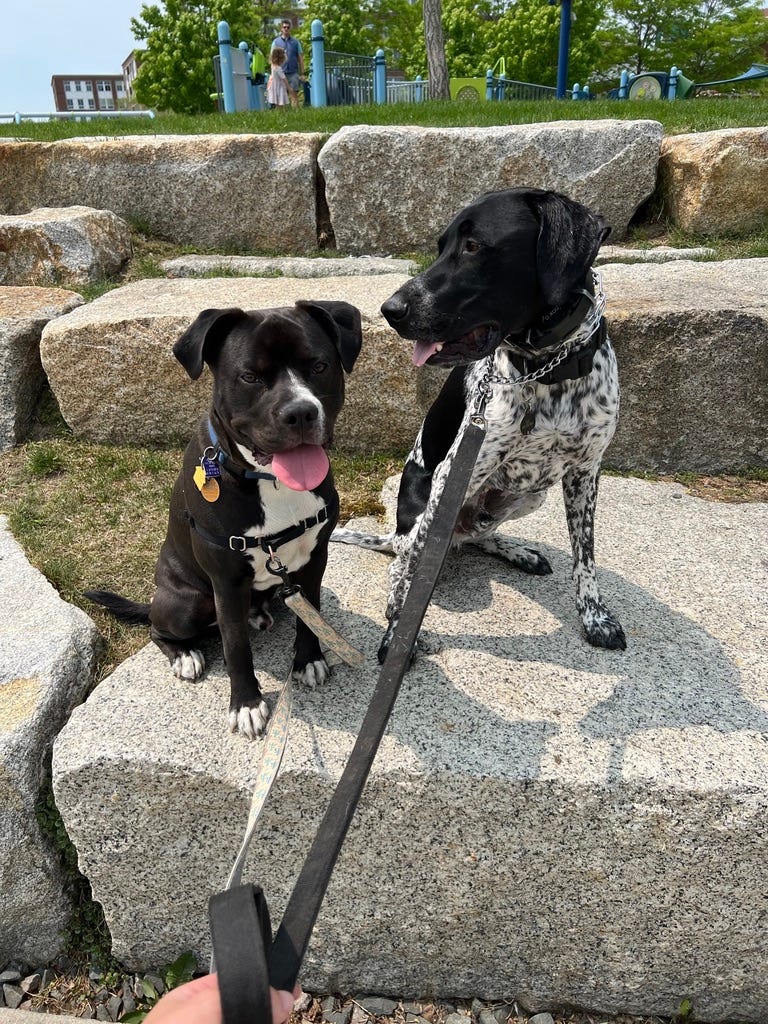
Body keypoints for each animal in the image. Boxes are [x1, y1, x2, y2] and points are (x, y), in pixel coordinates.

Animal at [87, 300, 362, 738]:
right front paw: (247, 704)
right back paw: (185, 655)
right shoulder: (227, 583)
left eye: (319, 366)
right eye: (249, 376)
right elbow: (236, 648)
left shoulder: (314, 560)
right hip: (187, 603)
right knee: (160, 628)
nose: (301, 412)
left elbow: (311, 614)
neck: (269, 481)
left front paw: (308, 660)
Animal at [333, 187, 626, 662]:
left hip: (530, 497)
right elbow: (408, 578)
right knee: (406, 557)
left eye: (473, 246)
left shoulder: (586, 472)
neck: (547, 370)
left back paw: (517, 551)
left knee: (477, 534)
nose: (390, 309)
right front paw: (396, 634)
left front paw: (595, 617)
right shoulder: (453, 473)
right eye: (440, 246)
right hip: (426, 510)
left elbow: (585, 556)